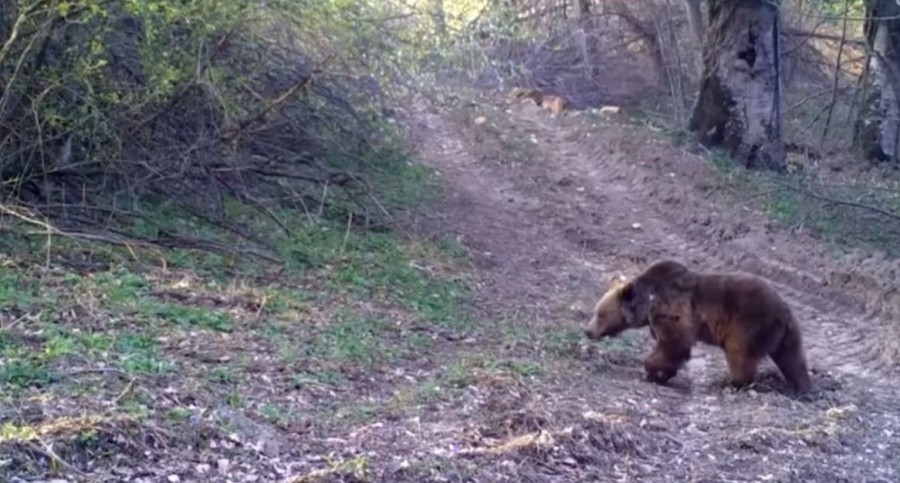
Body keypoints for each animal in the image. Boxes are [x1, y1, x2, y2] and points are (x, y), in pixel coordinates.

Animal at [583, 259, 812, 395]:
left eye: (599, 314)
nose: (588, 331)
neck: (647, 304)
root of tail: (784, 309)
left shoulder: (672, 311)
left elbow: (674, 343)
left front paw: (653, 371)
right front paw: (660, 373)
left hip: (748, 323)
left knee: (739, 353)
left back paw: (733, 382)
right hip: (787, 335)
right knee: (793, 359)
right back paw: (803, 388)